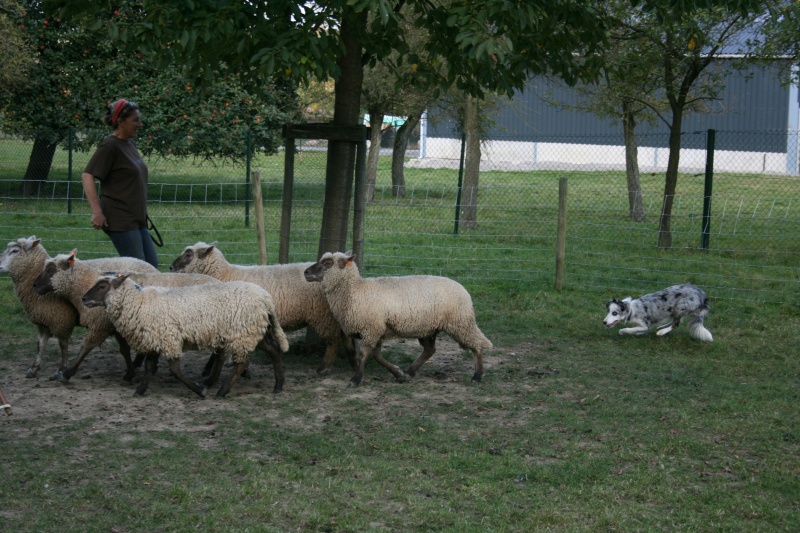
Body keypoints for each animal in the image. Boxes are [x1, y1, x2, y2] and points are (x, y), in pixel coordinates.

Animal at [0, 237, 158, 378]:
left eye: (15, 251)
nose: (35, 285)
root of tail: (151, 267)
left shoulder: (62, 319)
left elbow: (63, 345)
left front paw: (62, 370)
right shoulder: (43, 322)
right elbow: (40, 344)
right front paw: (34, 369)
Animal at [33, 249, 220, 382]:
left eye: (51, 269)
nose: (34, 285)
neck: (84, 284)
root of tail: (219, 282)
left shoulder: (101, 324)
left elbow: (86, 347)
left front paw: (67, 373)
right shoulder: (117, 325)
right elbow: (124, 350)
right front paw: (131, 371)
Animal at [83, 272, 290, 396]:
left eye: (102, 286)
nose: (84, 299)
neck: (139, 303)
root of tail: (266, 298)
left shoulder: (169, 339)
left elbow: (175, 370)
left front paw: (199, 390)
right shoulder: (156, 338)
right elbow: (149, 367)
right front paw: (140, 390)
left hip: (242, 333)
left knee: (242, 363)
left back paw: (222, 391)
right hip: (252, 331)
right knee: (273, 351)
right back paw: (278, 385)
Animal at [170, 241, 354, 374]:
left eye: (188, 254)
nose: (170, 267)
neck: (224, 274)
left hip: (323, 315)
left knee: (334, 341)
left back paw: (324, 368)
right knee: (343, 336)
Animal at [304, 251, 490, 384]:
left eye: (327, 263)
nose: (305, 272)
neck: (353, 290)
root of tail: (463, 289)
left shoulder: (371, 328)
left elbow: (364, 354)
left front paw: (356, 379)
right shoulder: (377, 329)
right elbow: (377, 356)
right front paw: (398, 373)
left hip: (460, 322)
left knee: (477, 344)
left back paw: (477, 375)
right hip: (428, 327)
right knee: (430, 350)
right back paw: (410, 372)